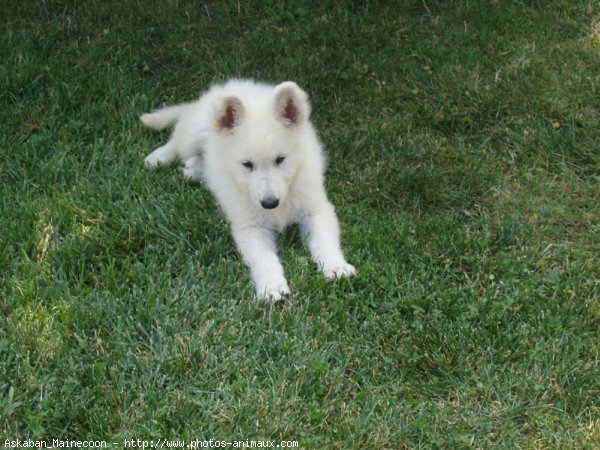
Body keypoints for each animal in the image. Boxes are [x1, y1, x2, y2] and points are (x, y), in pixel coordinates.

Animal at [141, 79, 356, 300]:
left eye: (280, 159)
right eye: (247, 165)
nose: (270, 203)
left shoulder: (316, 209)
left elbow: (324, 241)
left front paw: (336, 267)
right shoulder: (250, 227)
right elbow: (264, 258)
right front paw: (272, 286)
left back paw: (194, 169)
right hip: (194, 133)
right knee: (176, 140)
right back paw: (158, 157)